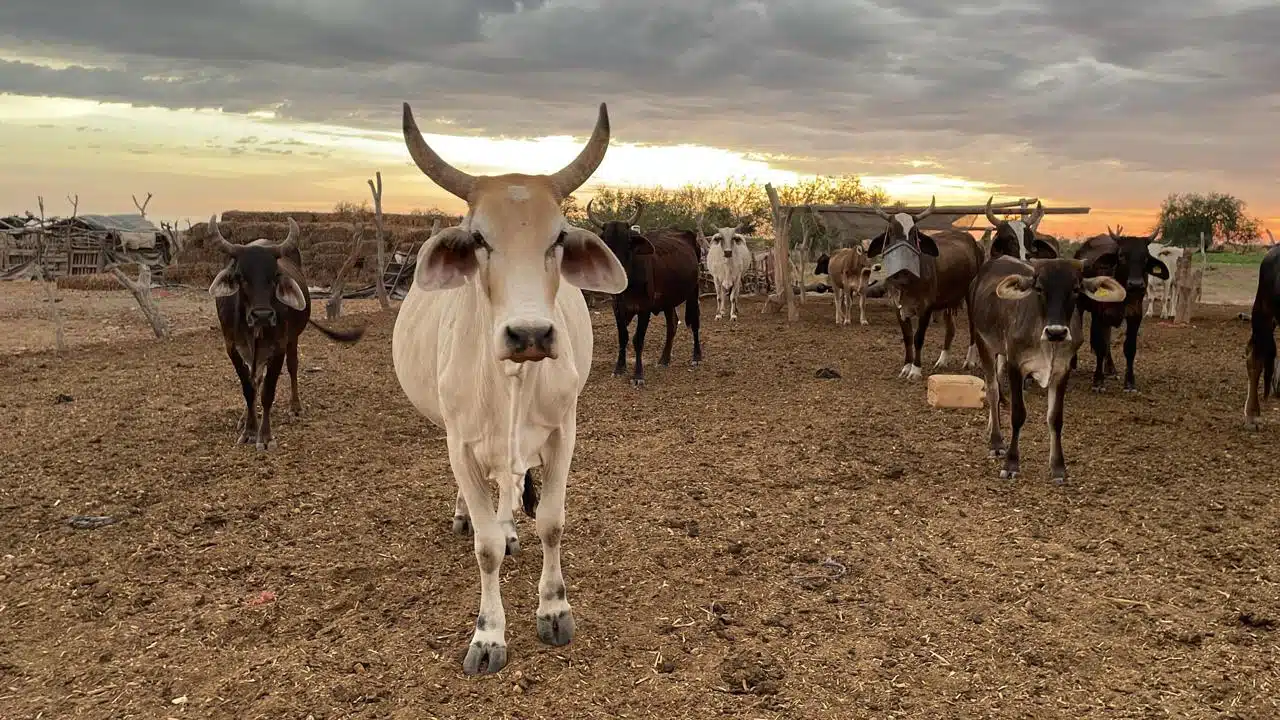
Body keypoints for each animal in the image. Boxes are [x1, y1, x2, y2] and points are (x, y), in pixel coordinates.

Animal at [204, 215, 366, 448]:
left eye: (275, 276)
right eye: (241, 276)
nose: (262, 315)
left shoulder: (278, 347)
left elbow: (268, 392)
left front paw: (265, 436)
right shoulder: (233, 348)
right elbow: (248, 388)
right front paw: (249, 429)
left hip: (292, 340)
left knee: (292, 367)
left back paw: (295, 406)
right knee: (255, 379)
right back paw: (244, 417)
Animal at [586, 196, 706, 386]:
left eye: (628, 242)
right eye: (605, 243)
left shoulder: (644, 308)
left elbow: (638, 339)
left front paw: (638, 375)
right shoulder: (617, 307)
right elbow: (623, 337)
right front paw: (619, 368)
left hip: (693, 291)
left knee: (694, 321)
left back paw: (696, 357)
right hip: (668, 300)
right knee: (672, 324)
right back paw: (664, 359)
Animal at [865, 193, 983, 379]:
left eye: (914, 235)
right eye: (891, 232)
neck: (907, 283)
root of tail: (973, 241)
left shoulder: (926, 308)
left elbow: (918, 337)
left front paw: (915, 369)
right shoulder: (897, 307)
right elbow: (907, 337)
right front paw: (906, 366)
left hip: (970, 297)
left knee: (972, 328)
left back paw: (970, 361)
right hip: (948, 301)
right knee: (951, 329)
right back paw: (942, 360)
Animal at [972, 254, 1126, 479]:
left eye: (1076, 289)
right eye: (1039, 288)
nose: (1056, 332)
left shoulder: (1062, 370)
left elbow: (1055, 418)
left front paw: (1058, 467)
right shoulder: (1016, 365)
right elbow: (1018, 414)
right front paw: (1011, 463)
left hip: (1000, 350)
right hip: (983, 342)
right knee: (992, 390)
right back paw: (996, 441)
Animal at [1070, 225, 1172, 389]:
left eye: (1145, 257)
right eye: (1122, 256)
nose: (1136, 284)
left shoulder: (1135, 315)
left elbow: (1129, 348)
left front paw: (1129, 382)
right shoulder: (1100, 315)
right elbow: (1099, 345)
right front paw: (1098, 381)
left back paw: (1110, 368)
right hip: (1079, 307)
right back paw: (1073, 363)